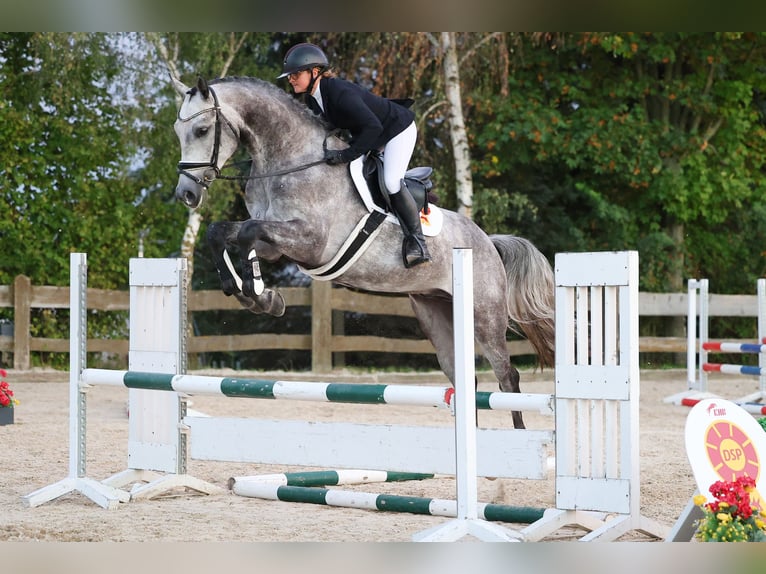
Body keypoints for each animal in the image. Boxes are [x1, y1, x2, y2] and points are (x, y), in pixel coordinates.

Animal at [171, 75, 555, 429]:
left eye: (202, 130)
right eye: (178, 131)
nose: (186, 194)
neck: (290, 159)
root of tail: (487, 241)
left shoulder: (310, 241)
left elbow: (249, 232)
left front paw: (261, 296)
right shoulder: (275, 244)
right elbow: (223, 233)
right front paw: (252, 294)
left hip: (484, 316)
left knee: (507, 377)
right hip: (435, 312)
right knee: (464, 379)